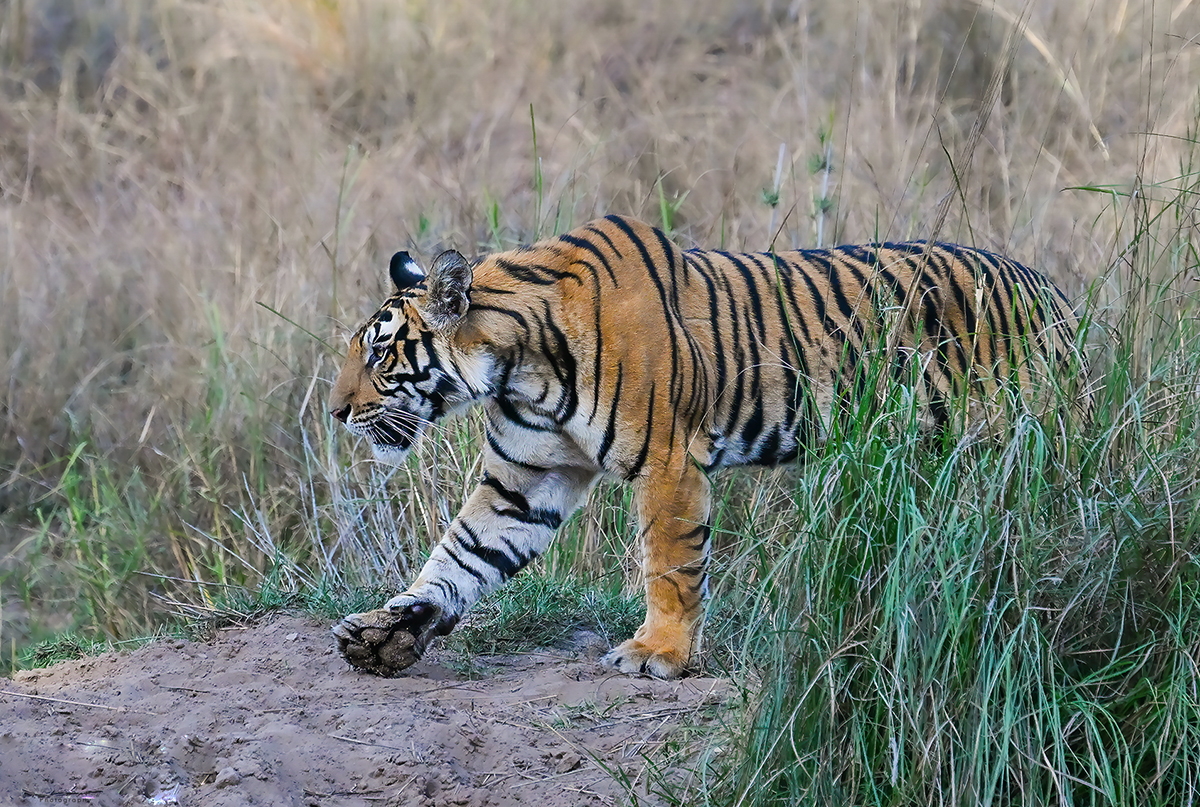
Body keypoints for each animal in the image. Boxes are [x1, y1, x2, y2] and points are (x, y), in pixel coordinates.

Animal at [326, 216, 1089, 682]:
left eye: (380, 352)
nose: (335, 412)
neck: (517, 365)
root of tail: (1051, 290)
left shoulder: (667, 458)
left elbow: (669, 562)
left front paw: (657, 653)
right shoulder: (526, 480)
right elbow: (460, 555)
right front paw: (390, 629)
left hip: (1034, 444)